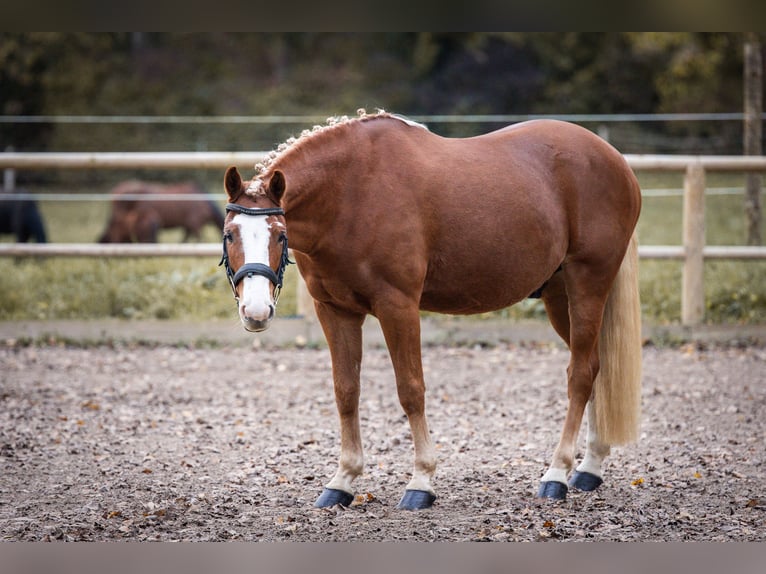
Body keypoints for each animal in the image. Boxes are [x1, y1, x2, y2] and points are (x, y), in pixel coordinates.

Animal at [220, 110, 640, 510]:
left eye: (280, 235)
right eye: (229, 235)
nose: (255, 310)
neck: (350, 192)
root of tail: (616, 162)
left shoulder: (398, 306)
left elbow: (411, 390)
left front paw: (420, 482)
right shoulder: (335, 311)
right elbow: (346, 391)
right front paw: (342, 481)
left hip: (588, 283)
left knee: (580, 375)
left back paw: (556, 474)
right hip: (559, 296)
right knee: (595, 369)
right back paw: (588, 468)